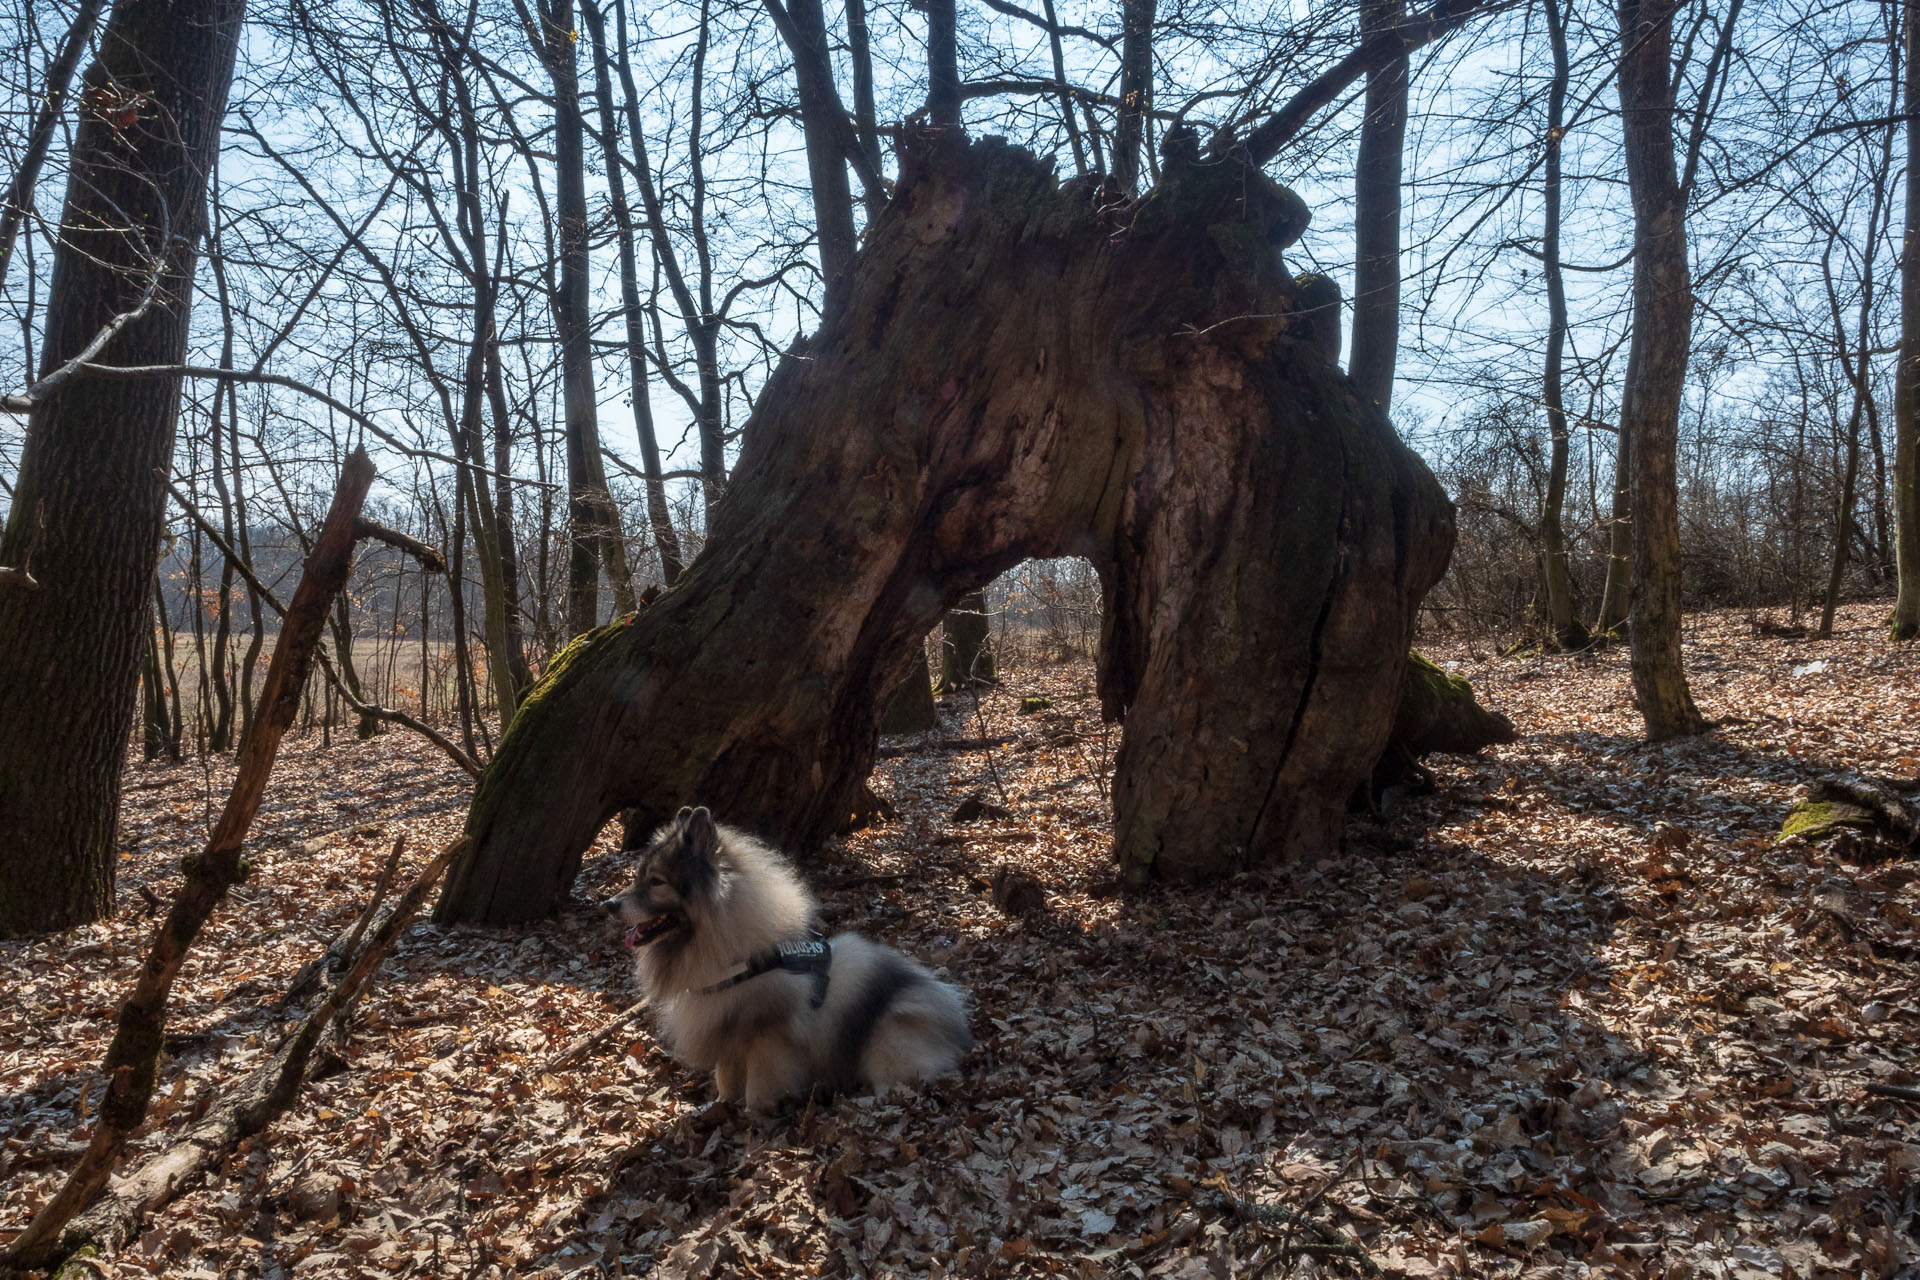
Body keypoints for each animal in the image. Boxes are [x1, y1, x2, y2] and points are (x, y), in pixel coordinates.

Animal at [602, 802, 967, 1113]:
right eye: (638, 877)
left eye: (657, 882)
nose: (609, 905)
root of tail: (954, 1022)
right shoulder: (726, 1029)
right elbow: (726, 1079)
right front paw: (720, 1106)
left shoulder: (767, 1037)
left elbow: (758, 1088)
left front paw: (754, 1118)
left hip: (886, 1044)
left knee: (893, 1089)